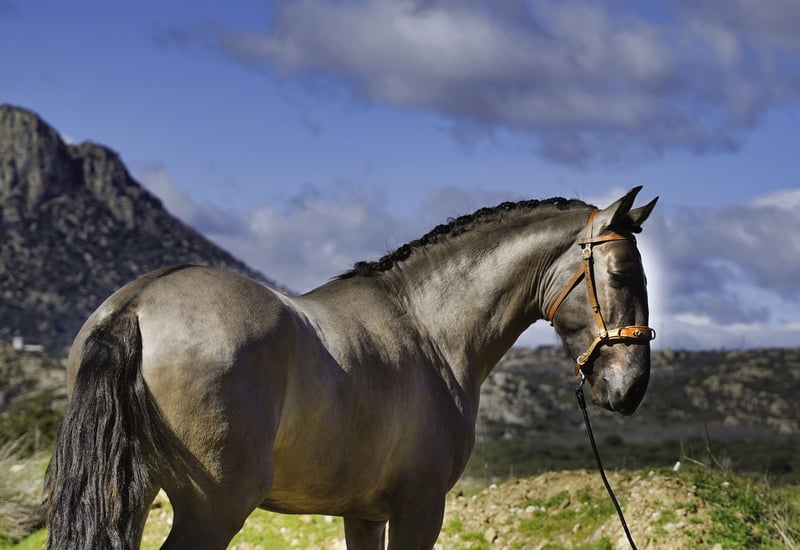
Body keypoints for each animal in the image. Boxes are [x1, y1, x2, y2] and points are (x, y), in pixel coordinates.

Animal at [43, 186, 657, 549]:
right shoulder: (419, 509)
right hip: (212, 510)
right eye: (621, 274)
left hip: (132, 494)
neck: (429, 327)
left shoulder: (365, 514)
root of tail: (136, 304)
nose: (630, 388)